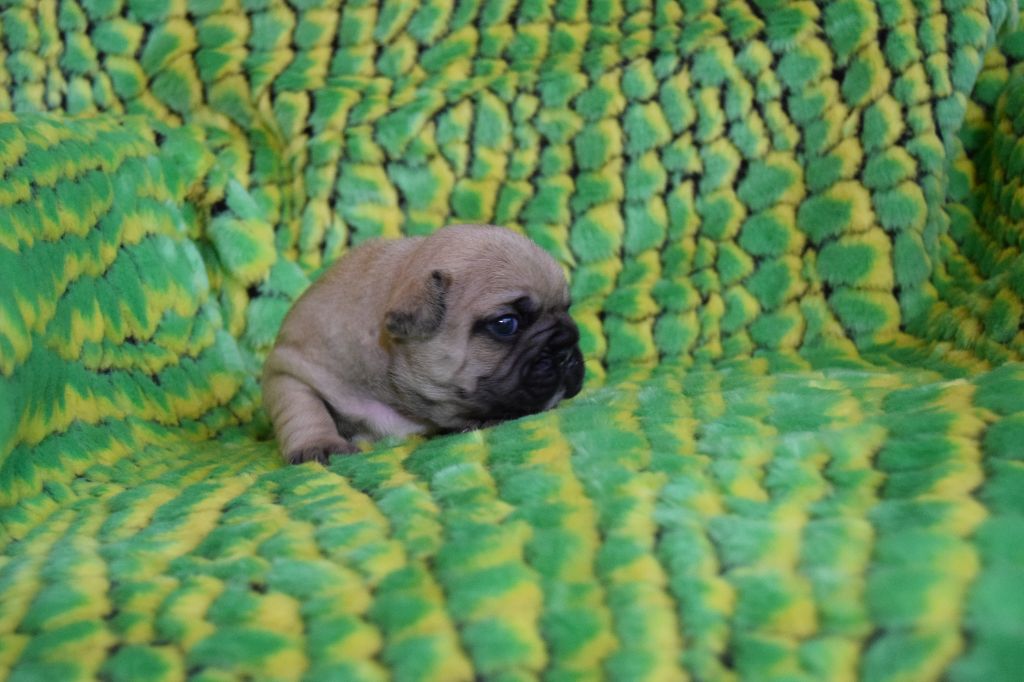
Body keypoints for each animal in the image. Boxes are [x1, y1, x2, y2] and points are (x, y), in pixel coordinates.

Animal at [262, 224, 585, 464]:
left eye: (567, 308)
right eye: (506, 324)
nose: (567, 348)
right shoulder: (290, 368)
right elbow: (303, 408)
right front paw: (319, 443)